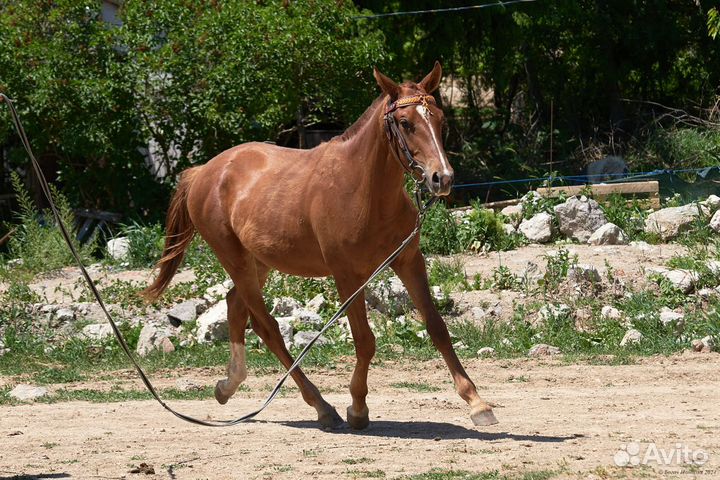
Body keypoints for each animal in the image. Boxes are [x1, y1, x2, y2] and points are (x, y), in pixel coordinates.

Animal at [143, 62, 498, 428]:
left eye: (439, 119)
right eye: (405, 123)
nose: (442, 178)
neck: (364, 190)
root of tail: (203, 172)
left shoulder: (409, 261)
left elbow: (437, 327)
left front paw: (477, 403)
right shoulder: (347, 276)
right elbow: (365, 341)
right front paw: (357, 408)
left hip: (259, 262)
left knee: (236, 308)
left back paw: (228, 386)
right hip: (235, 260)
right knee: (267, 326)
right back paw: (321, 406)